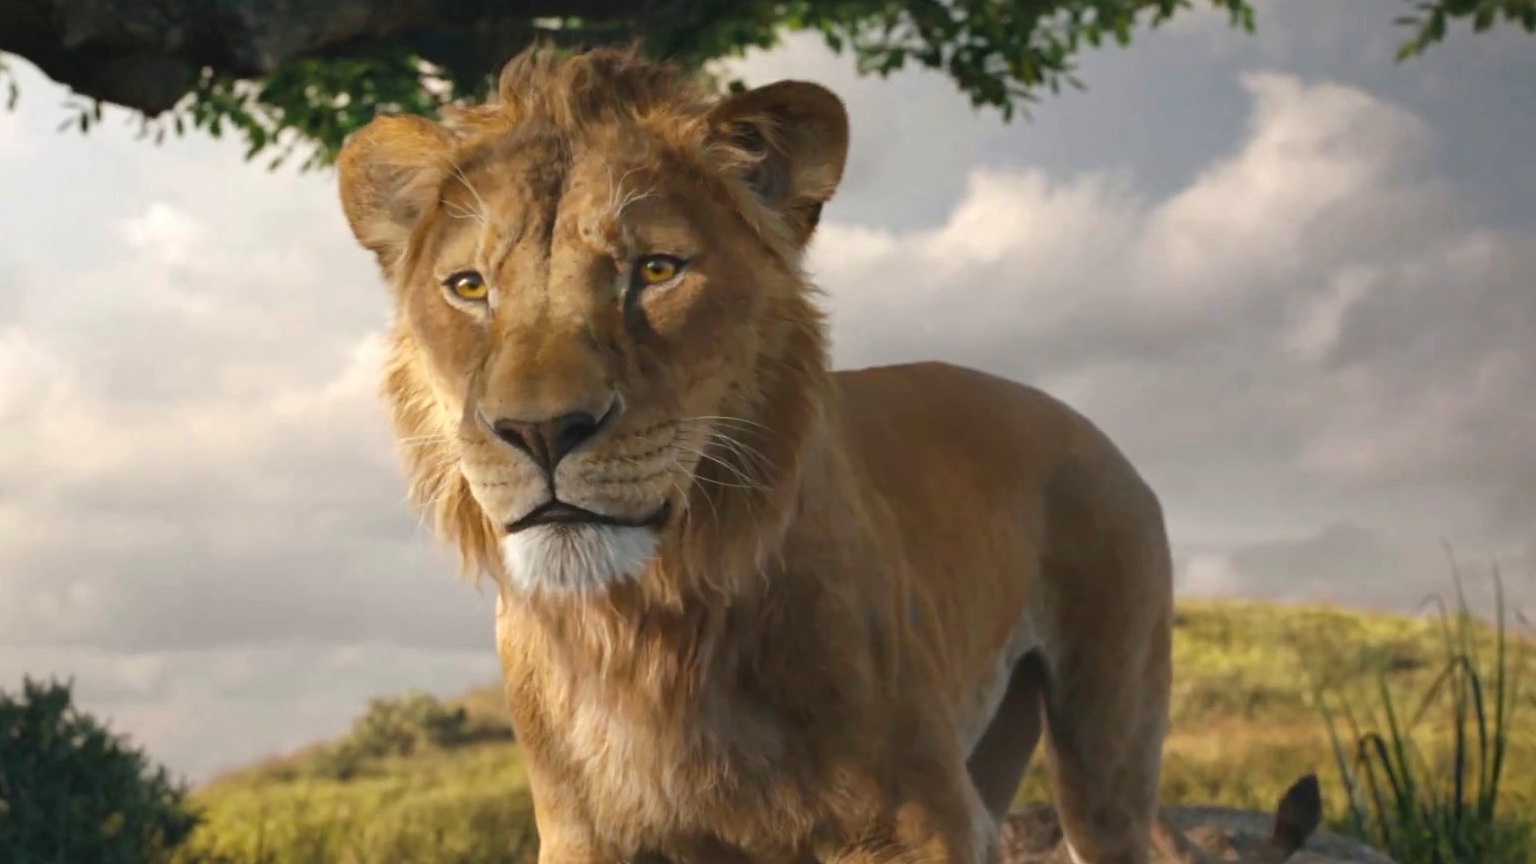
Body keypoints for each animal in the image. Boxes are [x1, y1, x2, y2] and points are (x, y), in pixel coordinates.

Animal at [334, 44, 1322, 864]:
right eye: (470, 288)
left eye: (655, 271)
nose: (541, 432)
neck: (647, 628)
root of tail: (1084, 424)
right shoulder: (585, 837)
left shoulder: (919, 824)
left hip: (1105, 738)